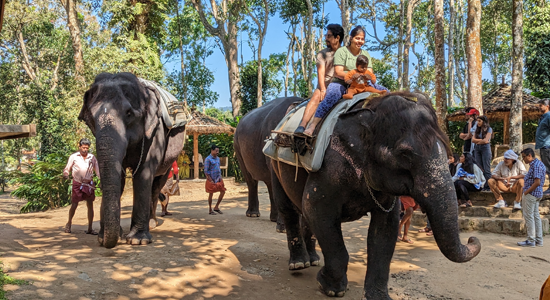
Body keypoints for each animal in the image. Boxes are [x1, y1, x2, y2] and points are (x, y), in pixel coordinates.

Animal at [79, 72, 188, 248]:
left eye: (129, 113)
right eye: (92, 118)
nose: (107, 241)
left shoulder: (155, 131)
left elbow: (143, 174)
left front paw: (138, 240)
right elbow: (119, 177)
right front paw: (105, 237)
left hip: (170, 161)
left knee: (156, 184)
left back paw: (152, 223)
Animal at [233, 96, 302, 232]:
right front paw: (283, 228)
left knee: (269, 183)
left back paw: (273, 219)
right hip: (237, 146)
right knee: (251, 180)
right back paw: (253, 214)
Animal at [246, 92, 484, 298]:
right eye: (404, 154)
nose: (472, 238)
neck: (370, 111)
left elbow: (385, 230)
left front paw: (378, 296)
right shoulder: (329, 167)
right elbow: (317, 210)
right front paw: (329, 287)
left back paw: (313, 260)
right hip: (274, 163)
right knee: (288, 207)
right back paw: (298, 264)